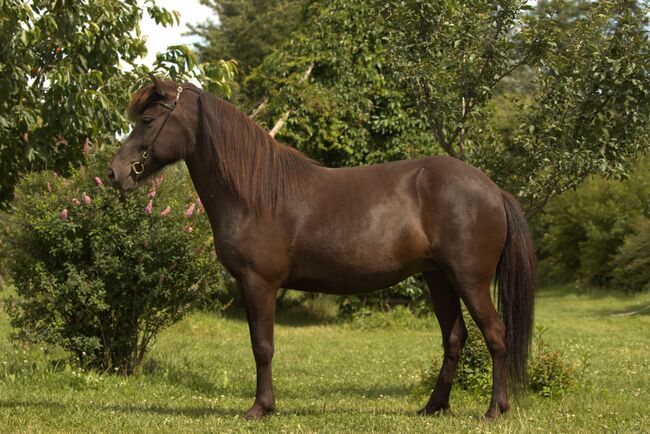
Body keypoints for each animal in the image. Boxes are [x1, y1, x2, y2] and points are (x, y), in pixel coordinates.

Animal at [109, 74, 536, 420]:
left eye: (147, 121)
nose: (114, 173)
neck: (256, 195)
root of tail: (492, 189)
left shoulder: (260, 283)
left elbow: (262, 345)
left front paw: (260, 408)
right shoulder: (249, 286)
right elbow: (258, 343)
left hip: (469, 279)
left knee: (495, 334)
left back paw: (494, 410)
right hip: (438, 278)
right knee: (454, 338)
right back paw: (433, 407)